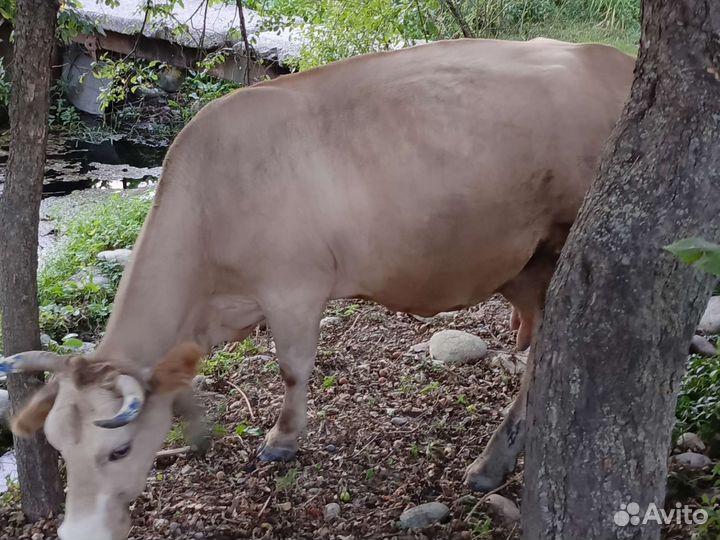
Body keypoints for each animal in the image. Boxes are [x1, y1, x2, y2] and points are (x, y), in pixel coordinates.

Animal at [1, 38, 634, 540]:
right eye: (59, 449)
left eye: (120, 450)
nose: (79, 533)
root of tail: (613, 59)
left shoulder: (294, 288)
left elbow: (292, 367)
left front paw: (282, 440)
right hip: (522, 262)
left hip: (563, 240)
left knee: (549, 350)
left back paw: (492, 460)